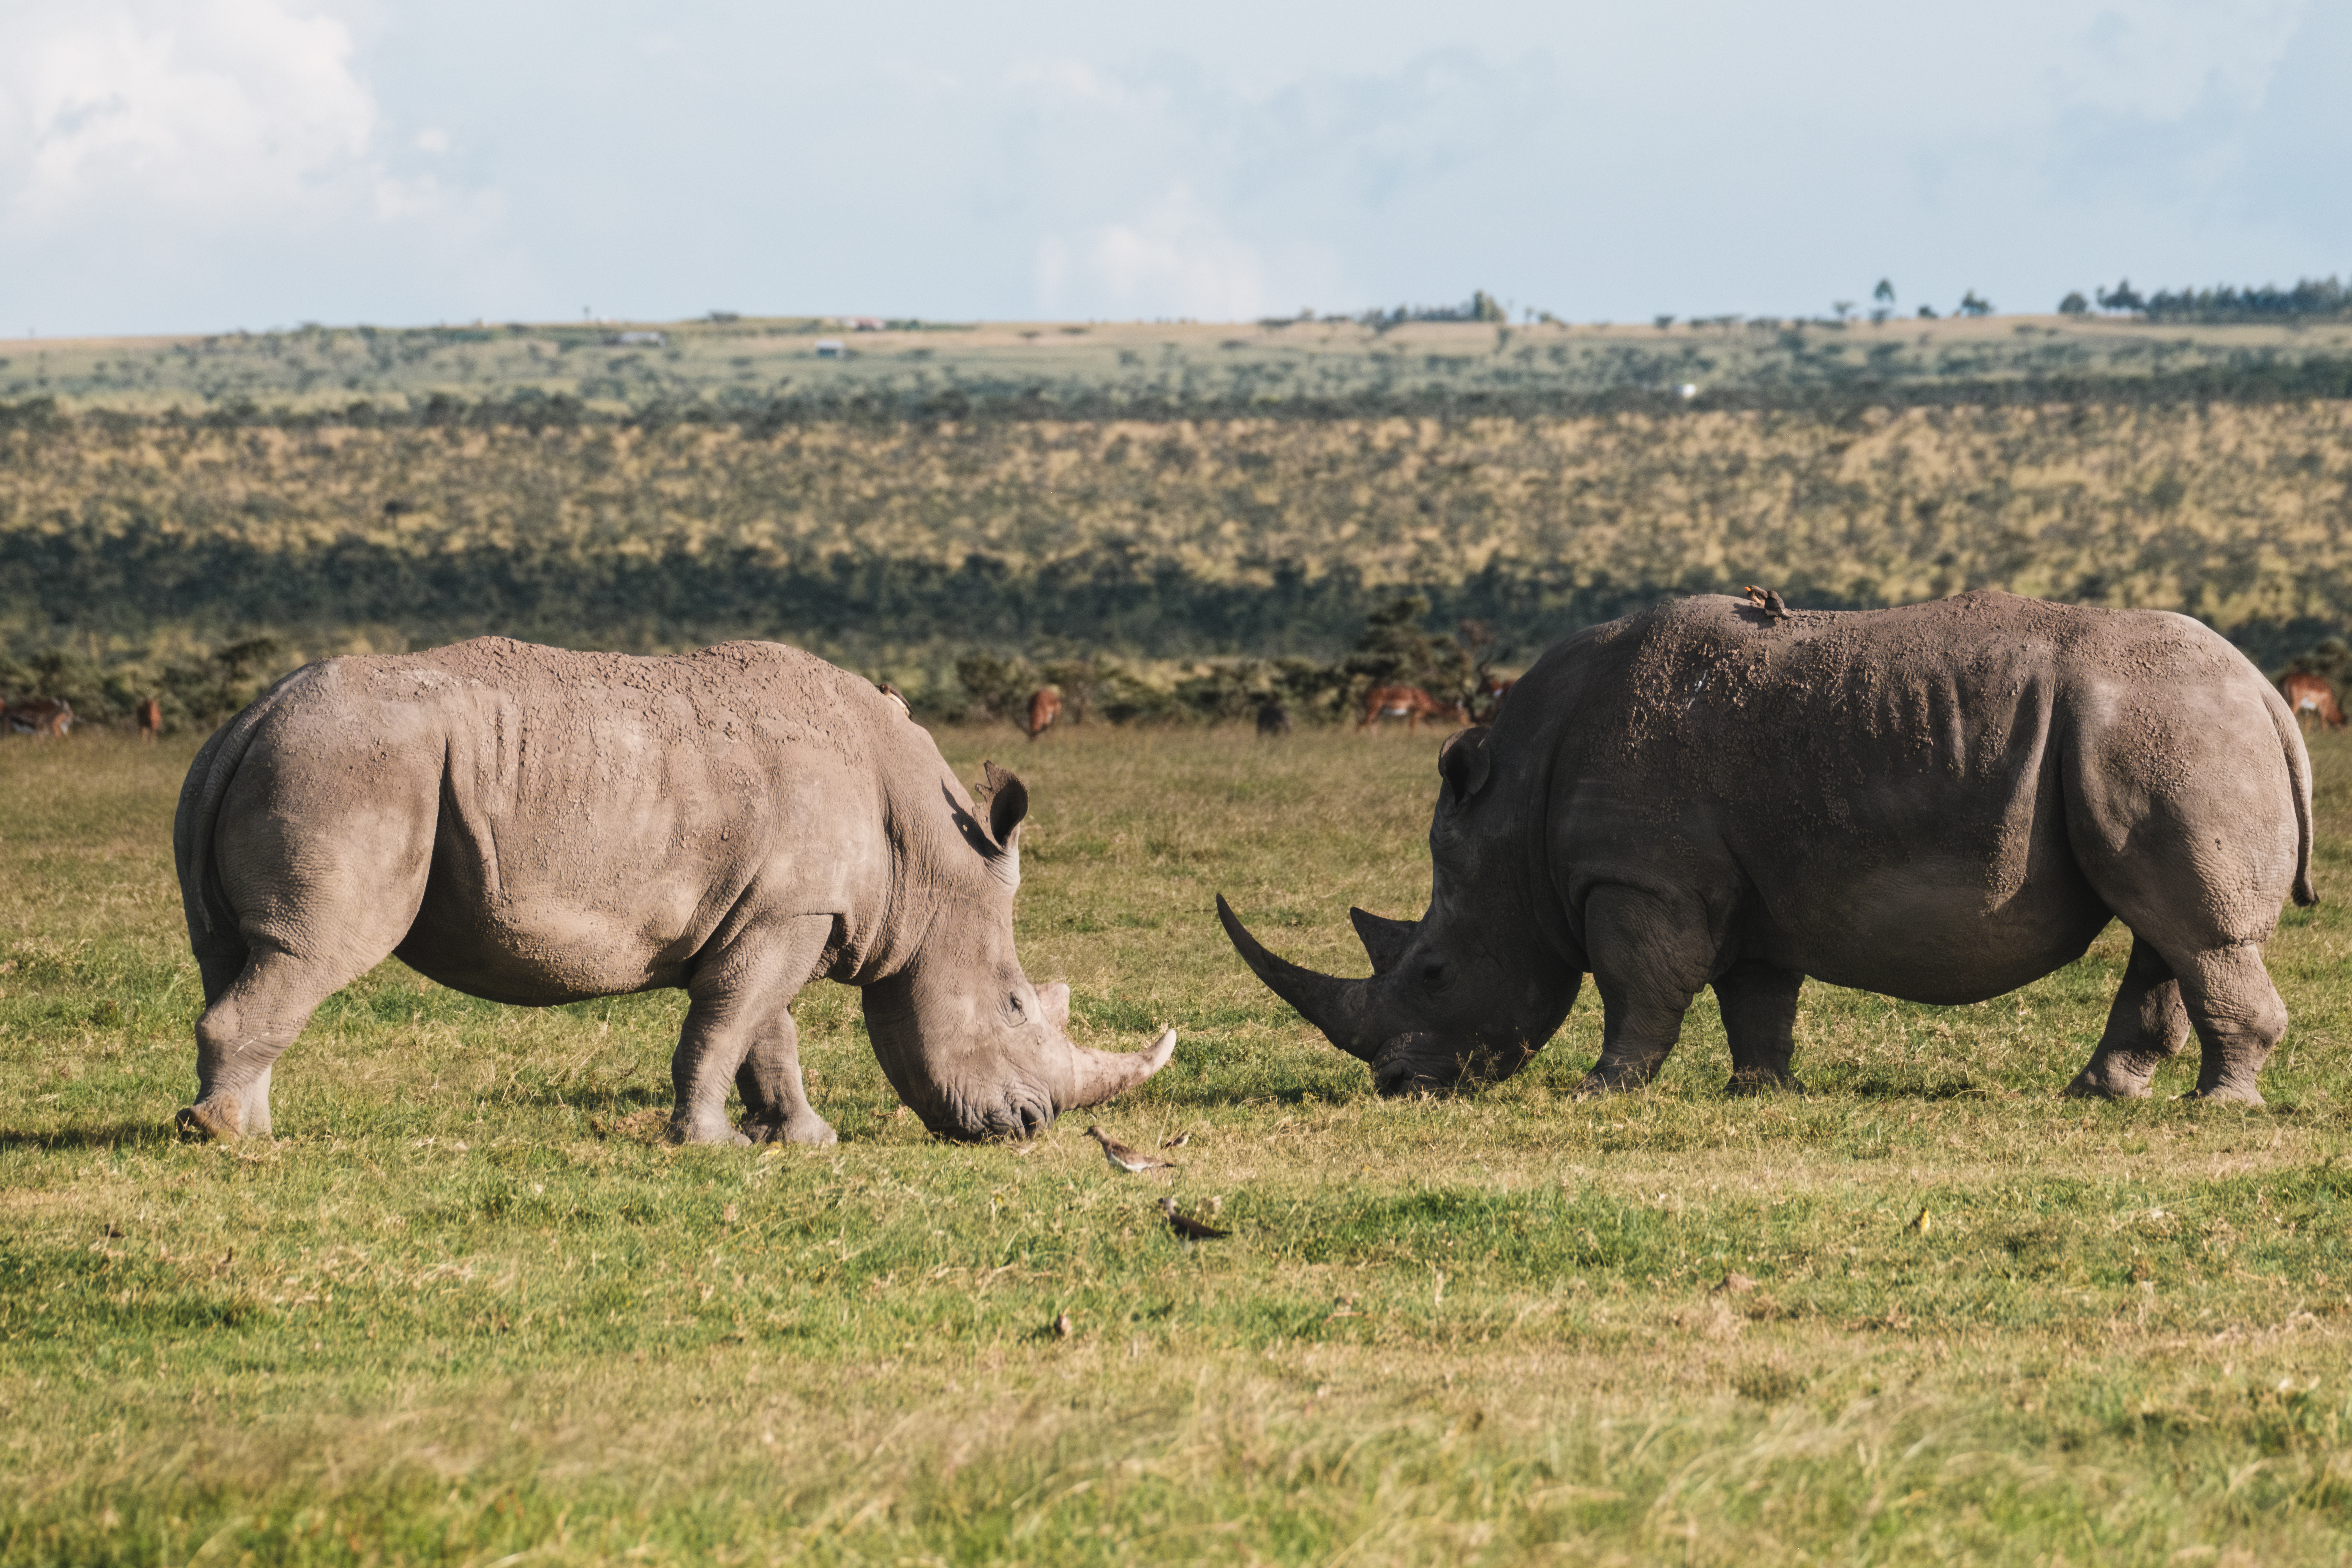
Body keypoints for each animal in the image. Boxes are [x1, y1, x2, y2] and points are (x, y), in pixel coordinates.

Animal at [173, 637, 1175, 1144]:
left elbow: (765, 1031)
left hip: (273, 762)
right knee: (310, 951)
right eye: (1015, 1007)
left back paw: (250, 1129)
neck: (927, 859)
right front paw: (710, 1145)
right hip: (357, 770)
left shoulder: (779, 909)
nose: (1030, 1125)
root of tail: (250, 715)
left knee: (239, 955)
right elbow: (729, 1023)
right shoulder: (789, 910)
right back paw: (227, 1138)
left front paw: (802, 1139)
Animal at [1221, 592, 2315, 1105]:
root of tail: (2266, 694)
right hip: (2158, 731)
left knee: (2189, 930)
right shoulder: (1745, 884)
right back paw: (2098, 1093)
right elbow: (1754, 994)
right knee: (2159, 929)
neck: (1513, 819)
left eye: (1434, 971)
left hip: (2166, 728)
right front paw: (1761, 1092)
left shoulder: (1639, 877)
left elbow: (1640, 984)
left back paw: (2218, 1105)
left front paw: (1601, 1089)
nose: (1396, 1086)